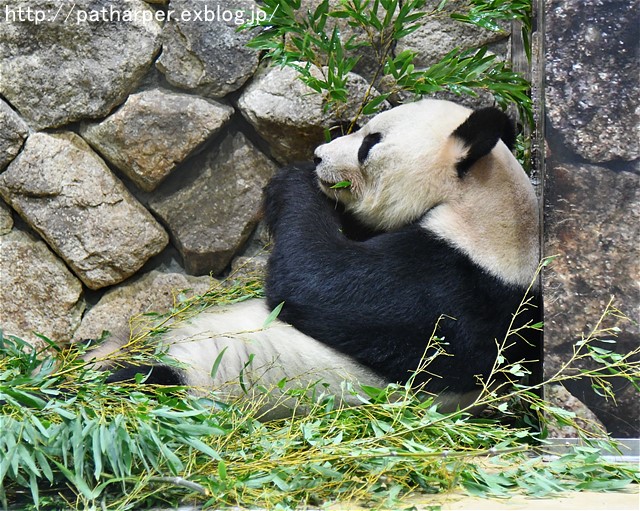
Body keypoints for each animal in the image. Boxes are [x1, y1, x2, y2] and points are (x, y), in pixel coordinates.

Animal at [91, 99, 540, 416]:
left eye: (370, 143)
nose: (320, 155)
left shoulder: (446, 286)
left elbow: (315, 282)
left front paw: (294, 179)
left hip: (207, 374)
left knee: (145, 381)